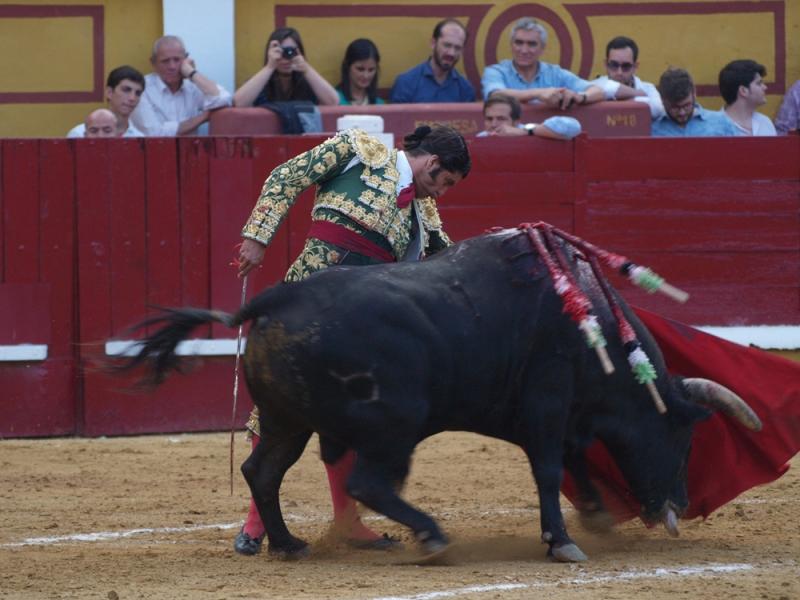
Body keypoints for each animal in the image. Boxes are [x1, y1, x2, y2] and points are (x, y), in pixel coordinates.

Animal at [115, 229, 760, 564]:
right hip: (395, 421)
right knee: (365, 481)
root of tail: (273, 300)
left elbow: (573, 457)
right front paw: (563, 542)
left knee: (263, 471)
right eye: (684, 436)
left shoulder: (560, 413)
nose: (676, 504)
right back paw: (428, 536)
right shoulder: (547, 401)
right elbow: (550, 468)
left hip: (286, 419)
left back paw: (288, 543)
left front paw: (596, 512)